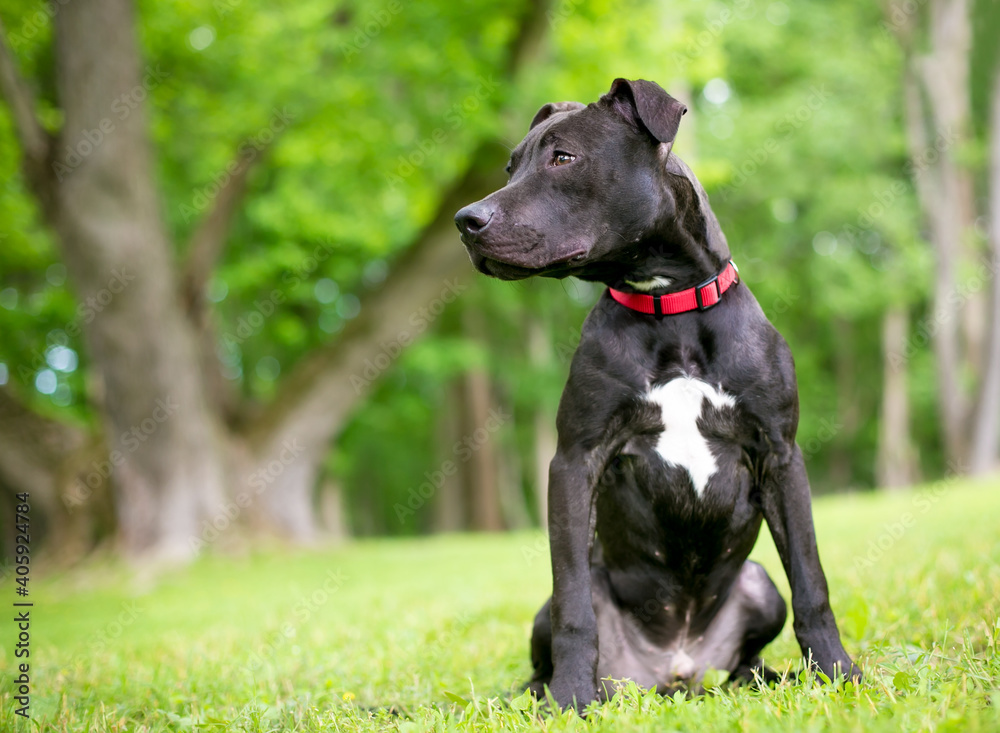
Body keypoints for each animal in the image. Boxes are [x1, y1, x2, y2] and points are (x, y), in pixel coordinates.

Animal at [458, 77, 856, 708]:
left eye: (563, 158)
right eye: (510, 167)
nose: (463, 220)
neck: (668, 307)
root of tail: (677, 669)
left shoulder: (780, 455)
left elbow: (812, 581)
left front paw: (839, 673)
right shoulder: (574, 459)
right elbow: (574, 602)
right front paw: (573, 699)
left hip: (757, 583)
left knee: (747, 656)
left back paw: (769, 677)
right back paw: (563, 691)